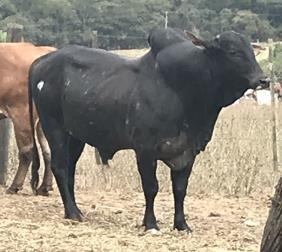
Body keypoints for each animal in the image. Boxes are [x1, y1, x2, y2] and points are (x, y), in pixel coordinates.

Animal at [0, 42, 55, 195]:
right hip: (42, 121)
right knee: (48, 150)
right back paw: (44, 187)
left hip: (21, 113)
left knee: (26, 151)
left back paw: (14, 186)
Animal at [28, 28, 268, 232]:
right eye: (233, 52)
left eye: (251, 51)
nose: (263, 79)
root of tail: (41, 61)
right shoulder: (145, 150)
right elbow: (151, 187)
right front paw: (151, 224)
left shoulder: (188, 151)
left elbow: (180, 189)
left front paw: (182, 225)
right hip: (54, 127)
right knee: (59, 167)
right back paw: (72, 213)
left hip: (76, 136)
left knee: (70, 169)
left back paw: (75, 210)